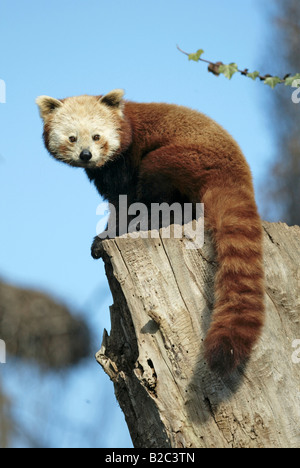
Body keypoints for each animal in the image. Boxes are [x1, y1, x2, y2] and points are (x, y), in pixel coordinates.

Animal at [35, 89, 264, 376]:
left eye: (97, 136)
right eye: (72, 138)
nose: (86, 155)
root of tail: (237, 177)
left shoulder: (126, 163)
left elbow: (126, 203)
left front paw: (106, 236)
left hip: (184, 158)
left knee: (159, 183)